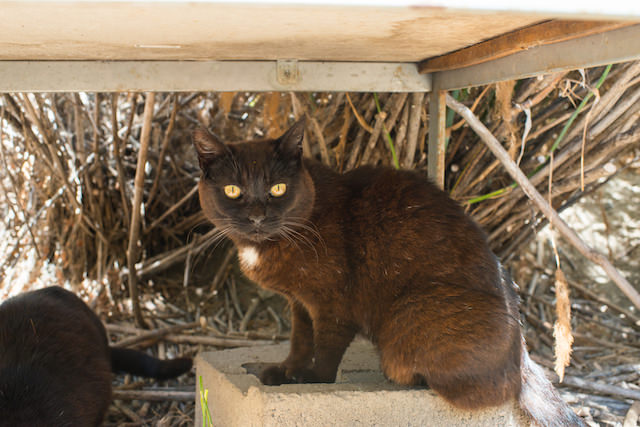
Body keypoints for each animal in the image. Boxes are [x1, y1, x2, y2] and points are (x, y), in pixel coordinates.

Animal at [194, 118, 584, 426]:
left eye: (278, 188)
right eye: (233, 190)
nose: (257, 217)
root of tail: (522, 363)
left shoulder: (333, 305)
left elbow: (326, 351)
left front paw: (309, 380)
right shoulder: (300, 303)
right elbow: (300, 340)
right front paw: (288, 369)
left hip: (408, 314)